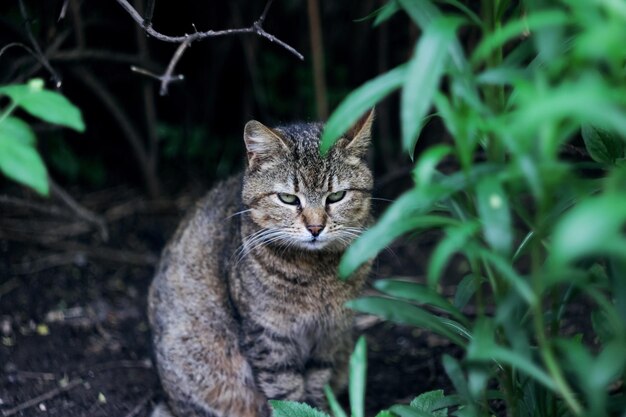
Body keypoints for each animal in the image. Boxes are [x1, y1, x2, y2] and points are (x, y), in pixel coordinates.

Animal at [149, 110, 372, 416]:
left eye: (336, 196)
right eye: (288, 198)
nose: (316, 228)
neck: (315, 273)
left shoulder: (331, 334)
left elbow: (317, 385)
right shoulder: (268, 336)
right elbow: (286, 394)